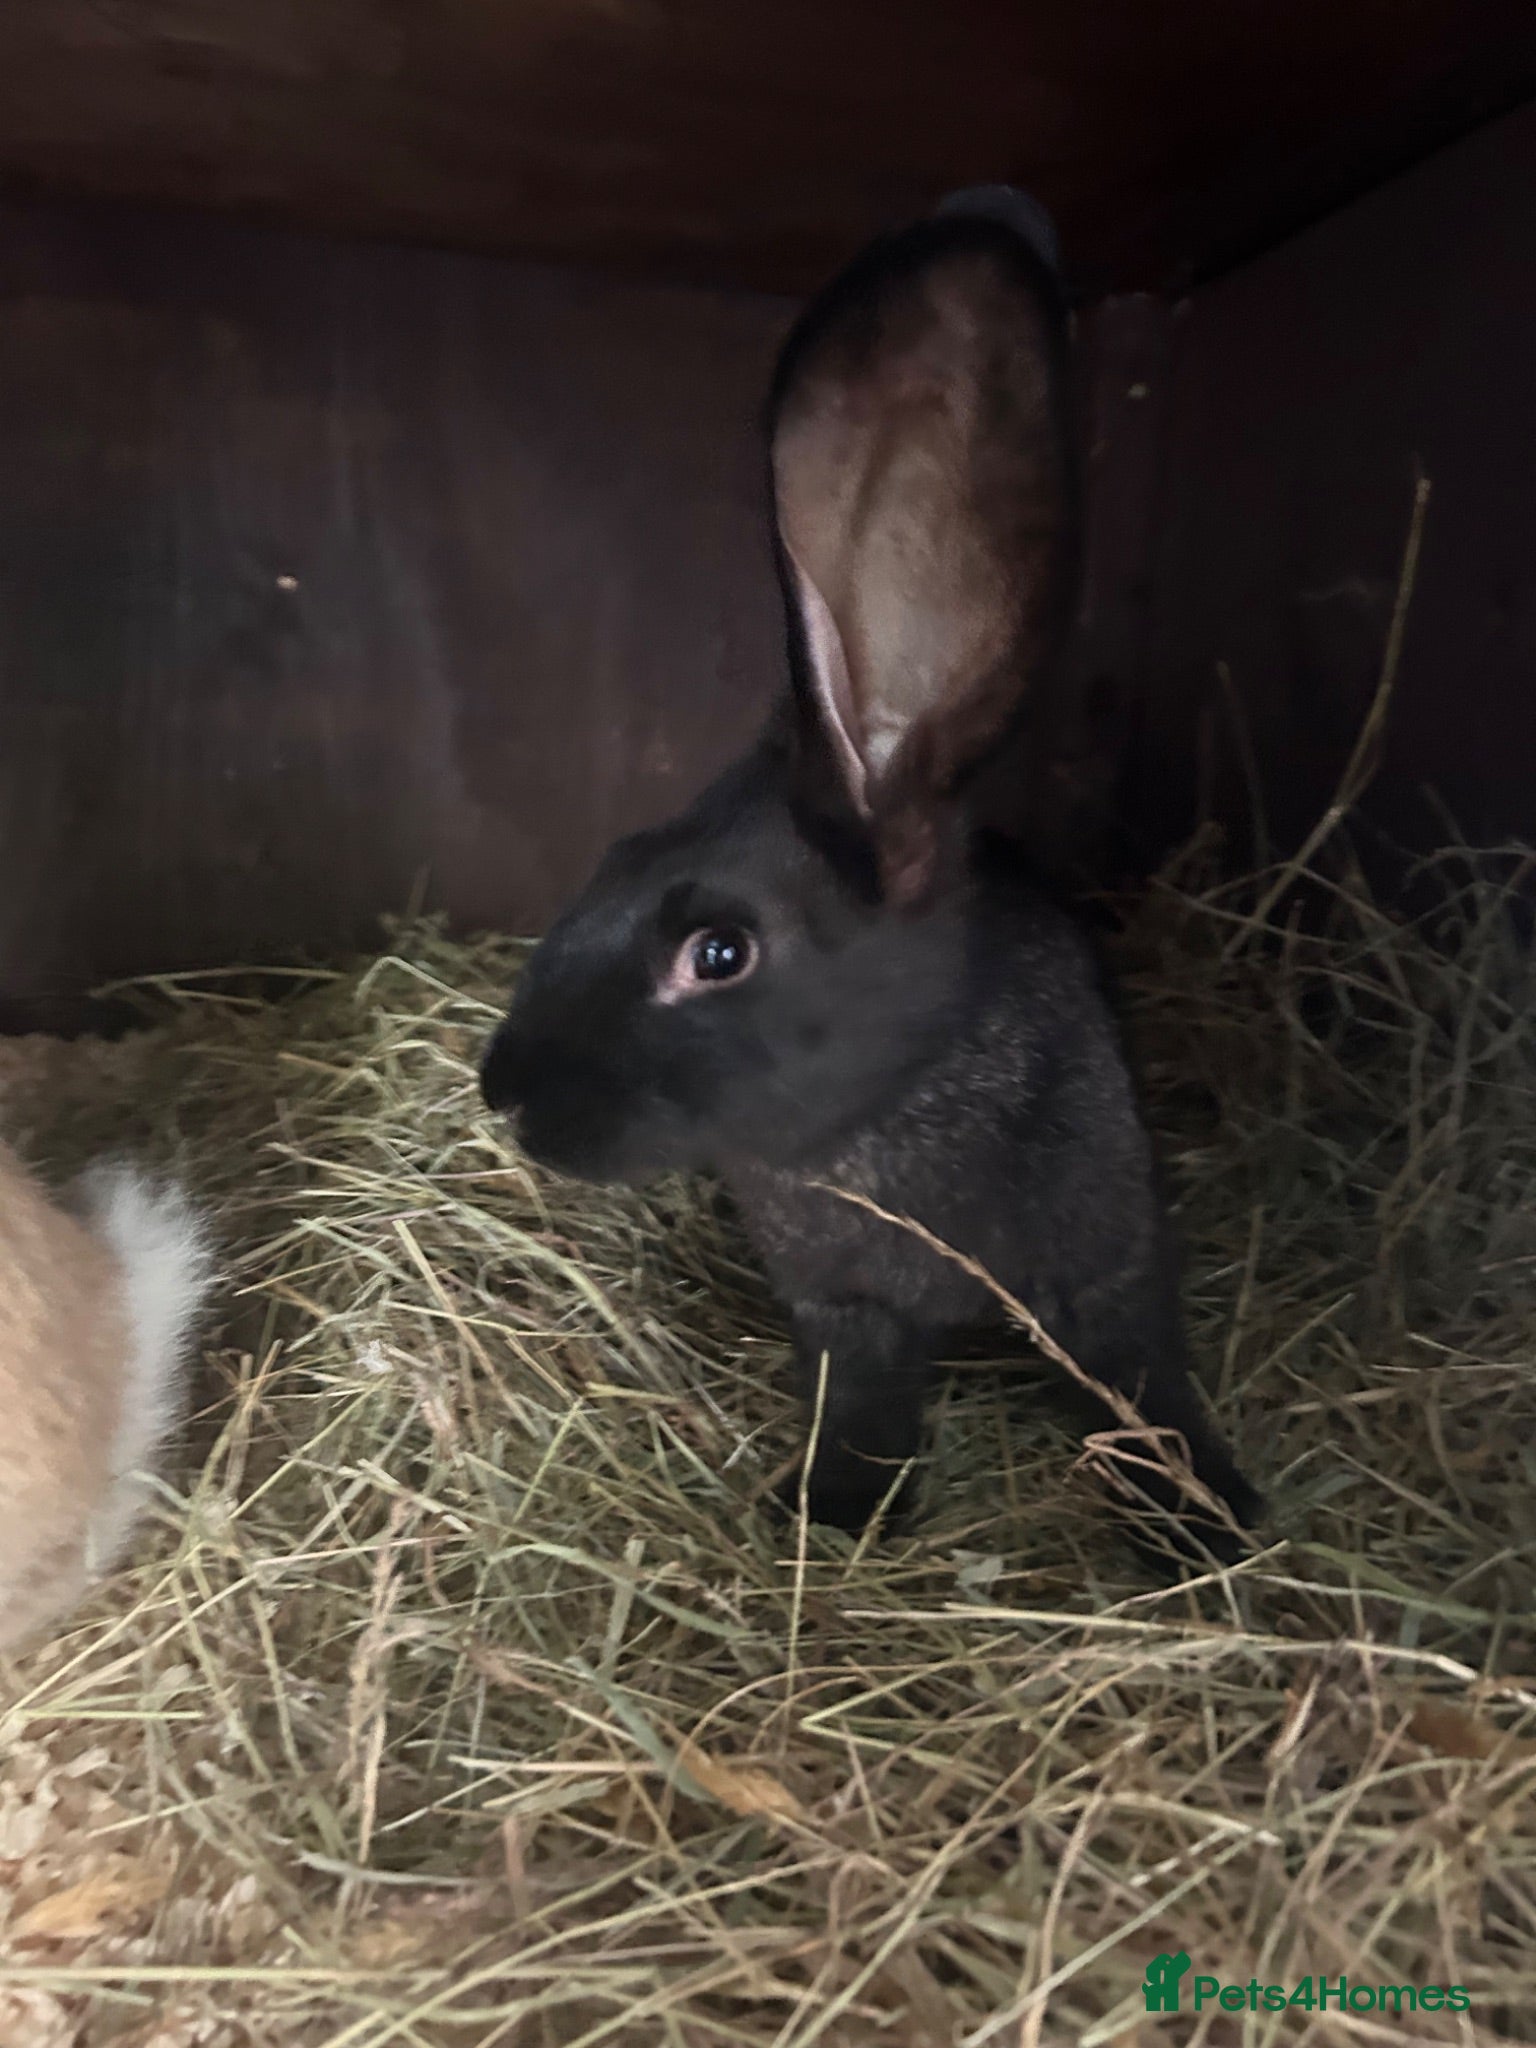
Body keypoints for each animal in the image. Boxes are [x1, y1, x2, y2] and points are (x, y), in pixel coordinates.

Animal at [479, 188, 1262, 1555]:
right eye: (609, 859)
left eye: (719, 950)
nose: (503, 1089)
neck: (890, 1110)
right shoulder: (842, 1306)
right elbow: (861, 1390)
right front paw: (834, 1506)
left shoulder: (1108, 1272)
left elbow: (1141, 1378)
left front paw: (1207, 1518)